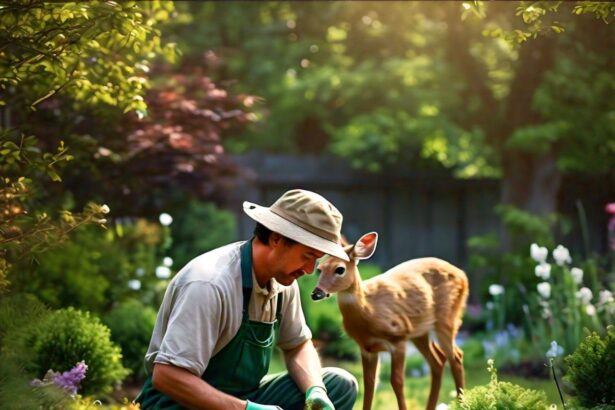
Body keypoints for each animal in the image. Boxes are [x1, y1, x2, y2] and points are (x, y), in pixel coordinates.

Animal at [310, 232, 470, 408]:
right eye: (319, 269)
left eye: (340, 269)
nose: (316, 293)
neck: (369, 313)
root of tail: (463, 275)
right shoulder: (366, 348)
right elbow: (369, 383)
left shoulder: (398, 338)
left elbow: (397, 381)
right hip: (419, 332)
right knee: (438, 360)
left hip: (447, 317)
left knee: (456, 357)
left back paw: (461, 404)